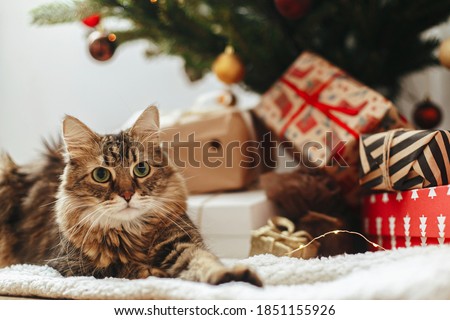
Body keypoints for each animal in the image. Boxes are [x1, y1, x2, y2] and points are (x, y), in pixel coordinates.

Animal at [0, 106, 262, 286]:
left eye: (141, 169)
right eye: (101, 174)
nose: (127, 194)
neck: (132, 234)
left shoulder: (180, 241)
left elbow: (202, 260)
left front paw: (231, 276)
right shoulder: (68, 265)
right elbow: (119, 268)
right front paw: (152, 272)